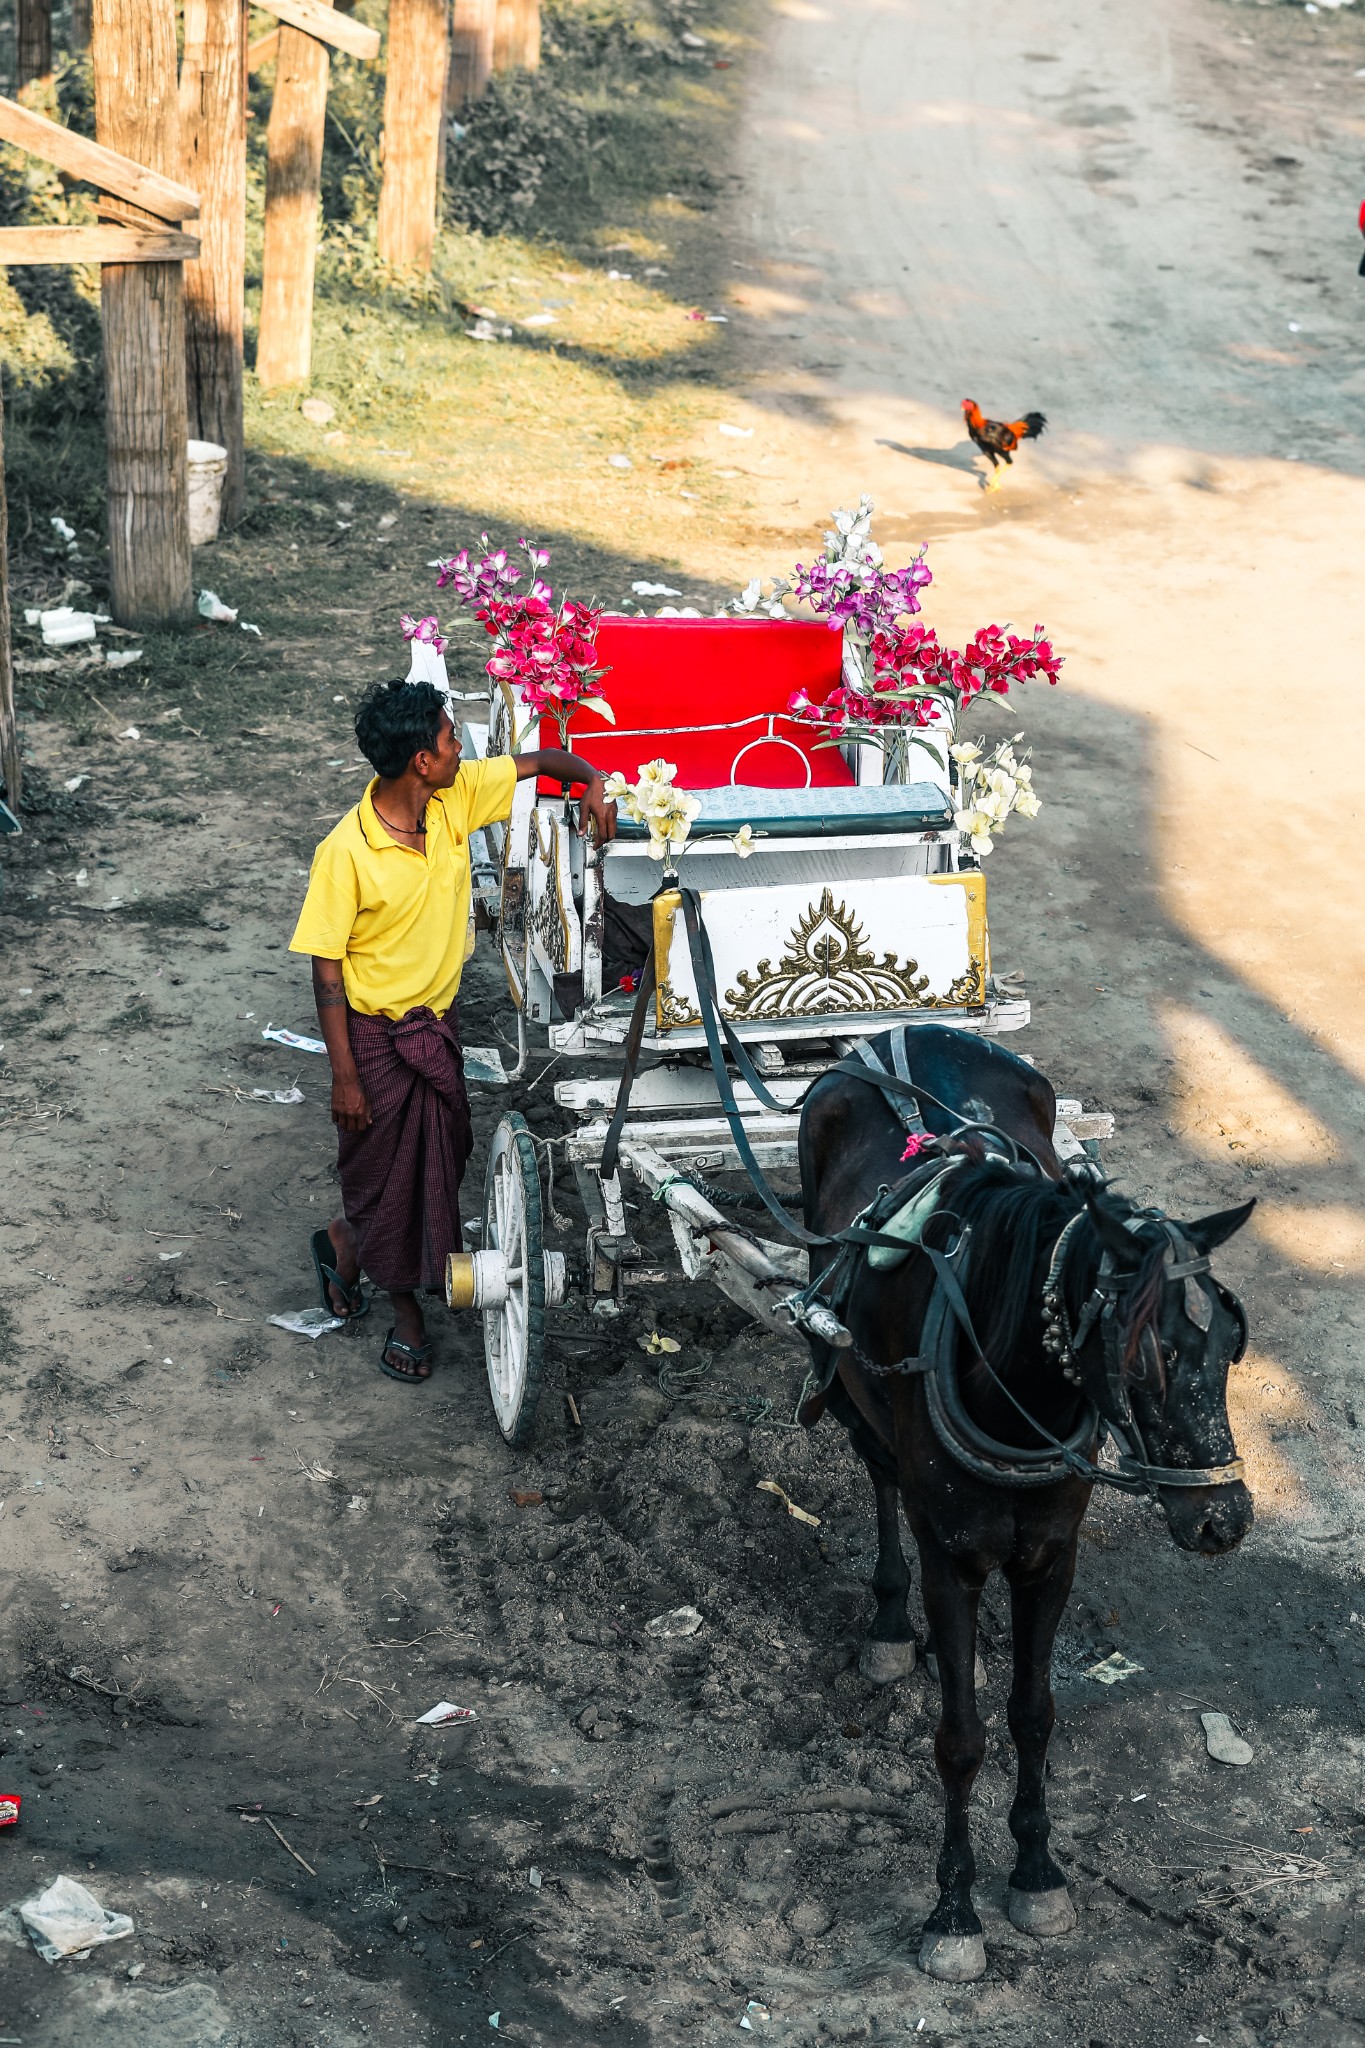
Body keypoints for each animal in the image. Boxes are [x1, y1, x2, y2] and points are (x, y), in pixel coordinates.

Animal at [794, 1024, 1252, 1982]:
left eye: (1231, 1343)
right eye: (1145, 1357)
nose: (1222, 1520)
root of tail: (900, 1029)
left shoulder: (1050, 1554)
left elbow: (1033, 1717)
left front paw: (1037, 1871)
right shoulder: (951, 1555)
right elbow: (961, 1739)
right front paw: (953, 1910)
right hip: (854, 1384)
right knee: (878, 1471)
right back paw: (890, 1623)